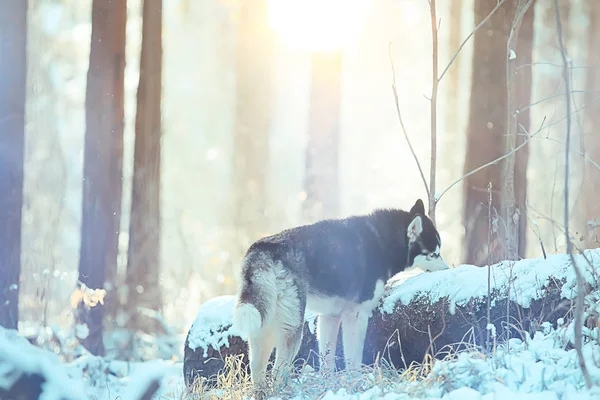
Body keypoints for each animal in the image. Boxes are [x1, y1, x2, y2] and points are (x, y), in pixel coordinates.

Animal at [232, 199, 448, 388]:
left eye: (439, 252)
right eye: (434, 254)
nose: (447, 269)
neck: (382, 242)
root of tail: (261, 249)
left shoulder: (330, 316)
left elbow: (327, 360)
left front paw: (327, 384)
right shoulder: (357, 315)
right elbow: (354, 358)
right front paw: (356, 382)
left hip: (263, 327)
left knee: (258, 373)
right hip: (291, 329)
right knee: (278, 373)